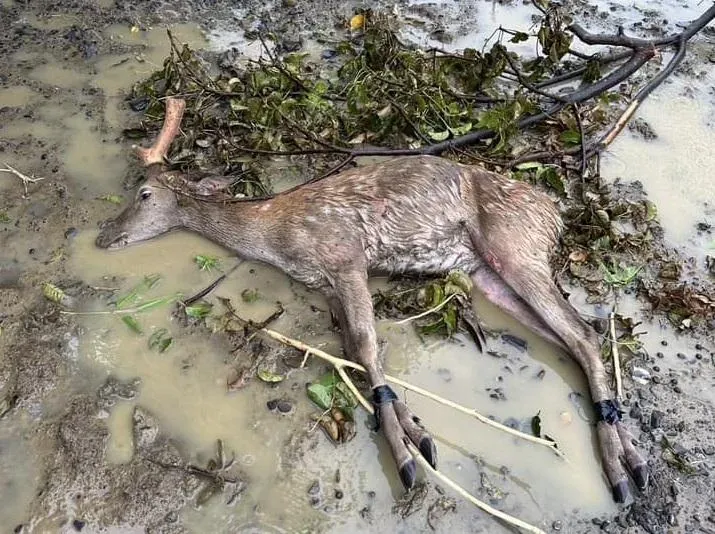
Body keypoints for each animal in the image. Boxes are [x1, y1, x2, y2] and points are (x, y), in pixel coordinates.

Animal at [95, 97, 648, 506]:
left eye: (144, 193)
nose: (103, 237)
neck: (275, 236)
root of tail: (555, 215)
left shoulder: (344, 256)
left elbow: (365, 344)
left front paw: (404, 458)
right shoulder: (327, 285)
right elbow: (354, 350)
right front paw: (418, 433)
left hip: (517, 248)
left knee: (583, 333)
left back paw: (624, 470)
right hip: (489, 277)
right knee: (576, 336)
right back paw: (626, 452)